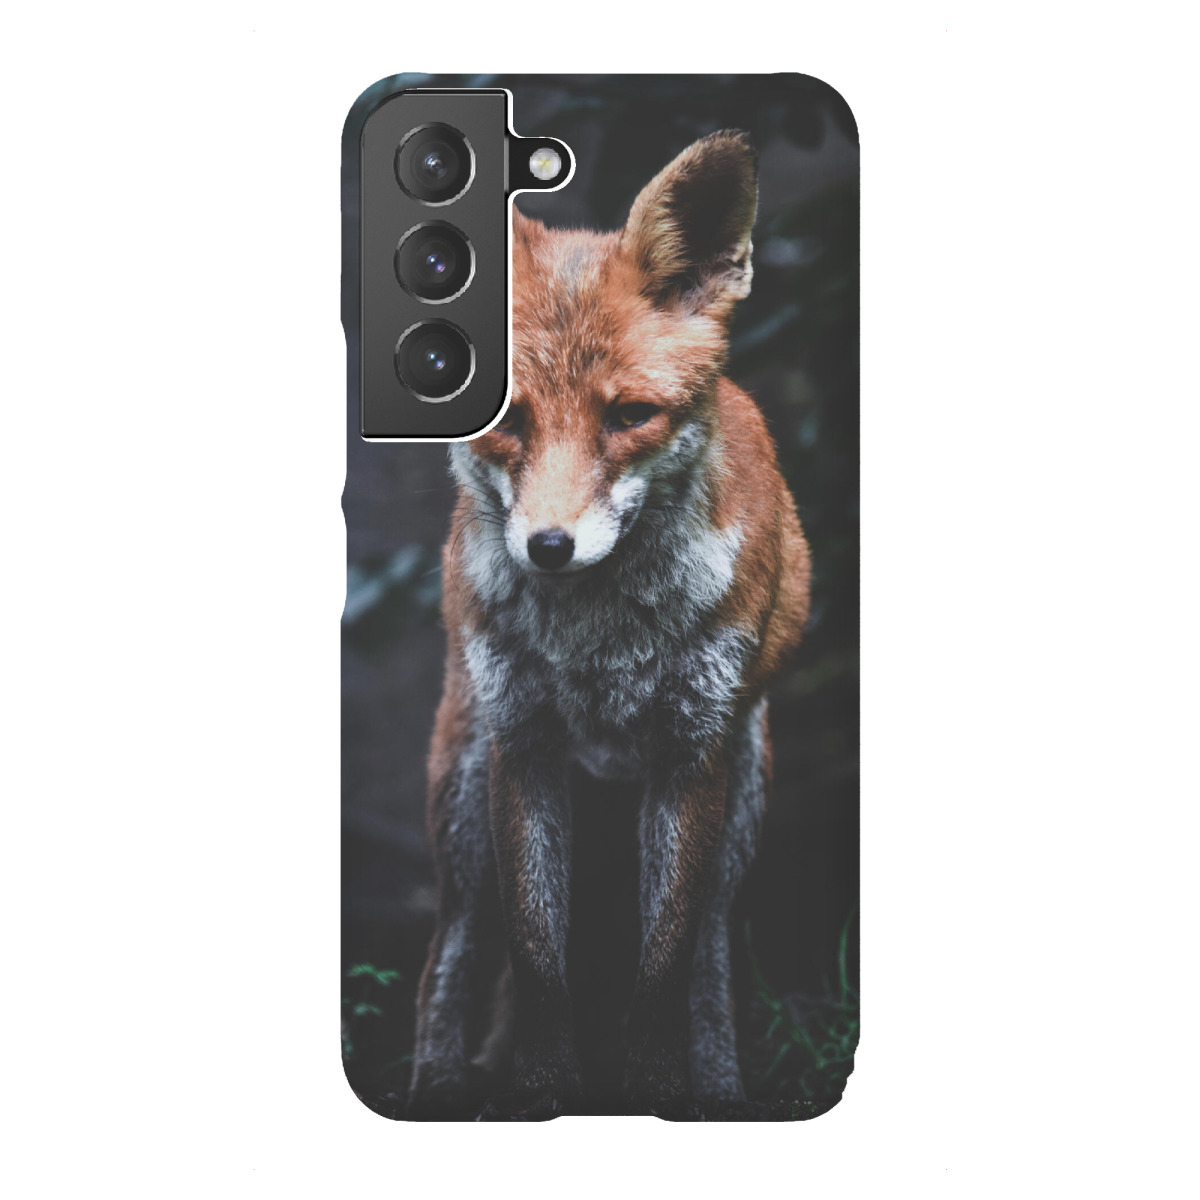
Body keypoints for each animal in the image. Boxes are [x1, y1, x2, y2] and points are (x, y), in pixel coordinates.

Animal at [407, 131, 812, 1118]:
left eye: (630, 417)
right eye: (506, 417)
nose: (549, 548)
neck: (601, 652)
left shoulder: (692, 753)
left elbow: (661, 975)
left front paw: (662, 1090)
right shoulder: (523, 747)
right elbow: (537, 965)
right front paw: (540, 1093)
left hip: (742, 800)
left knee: (708, 951)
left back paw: (722, 1086)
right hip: (463, 795)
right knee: (451, 952)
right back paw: (436, 1084)